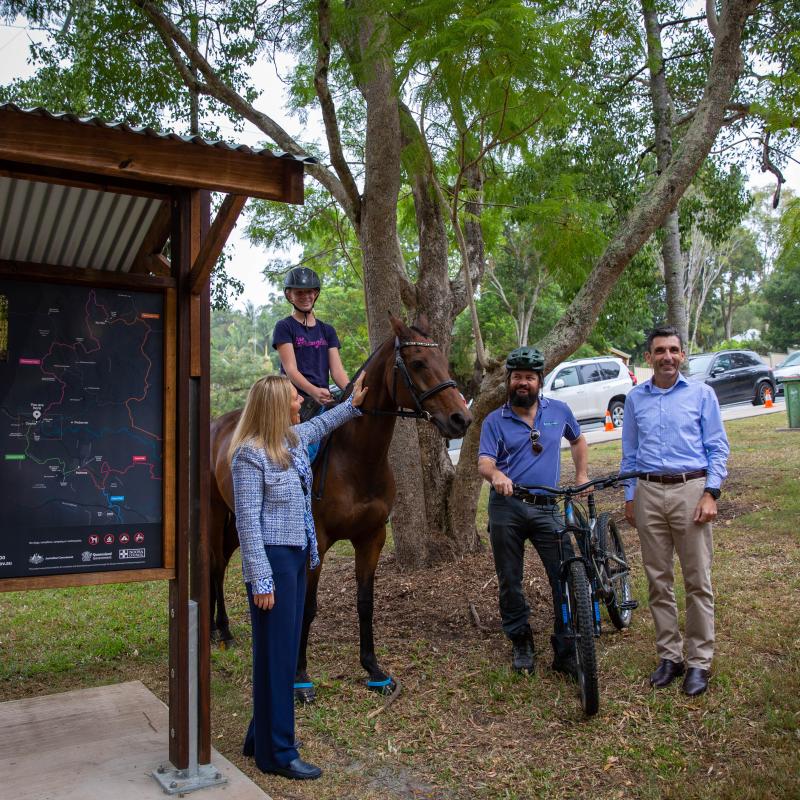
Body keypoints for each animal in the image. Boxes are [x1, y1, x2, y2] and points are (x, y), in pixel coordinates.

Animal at [209, 312, 472, 700]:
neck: (357, 459)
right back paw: (224, 631)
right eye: (418, 363)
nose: (460, 419)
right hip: (215, 515)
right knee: (215, 565)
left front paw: (374, 669)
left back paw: (222, 629)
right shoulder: (315, 541)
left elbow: (365, 602)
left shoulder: (372, 538)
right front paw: (300, 677)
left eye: (444, 361)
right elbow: (307, 606)